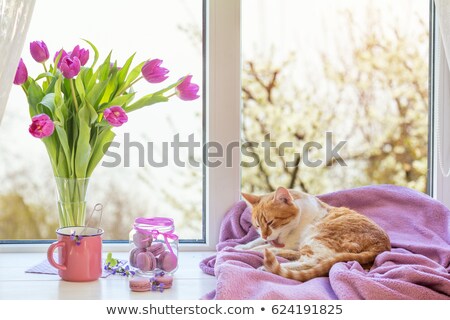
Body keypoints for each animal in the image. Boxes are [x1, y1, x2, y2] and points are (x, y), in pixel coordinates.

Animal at [239, 186, 390, 282]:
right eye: (258, 225)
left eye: (270, 222)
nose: (265, 235)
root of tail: (383, 245)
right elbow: (256, 241)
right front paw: (242, 246)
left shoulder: (290, 243)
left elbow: (262, 246)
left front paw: (253, 249)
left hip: (317, 237)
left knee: (311, 262)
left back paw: (267, 266)